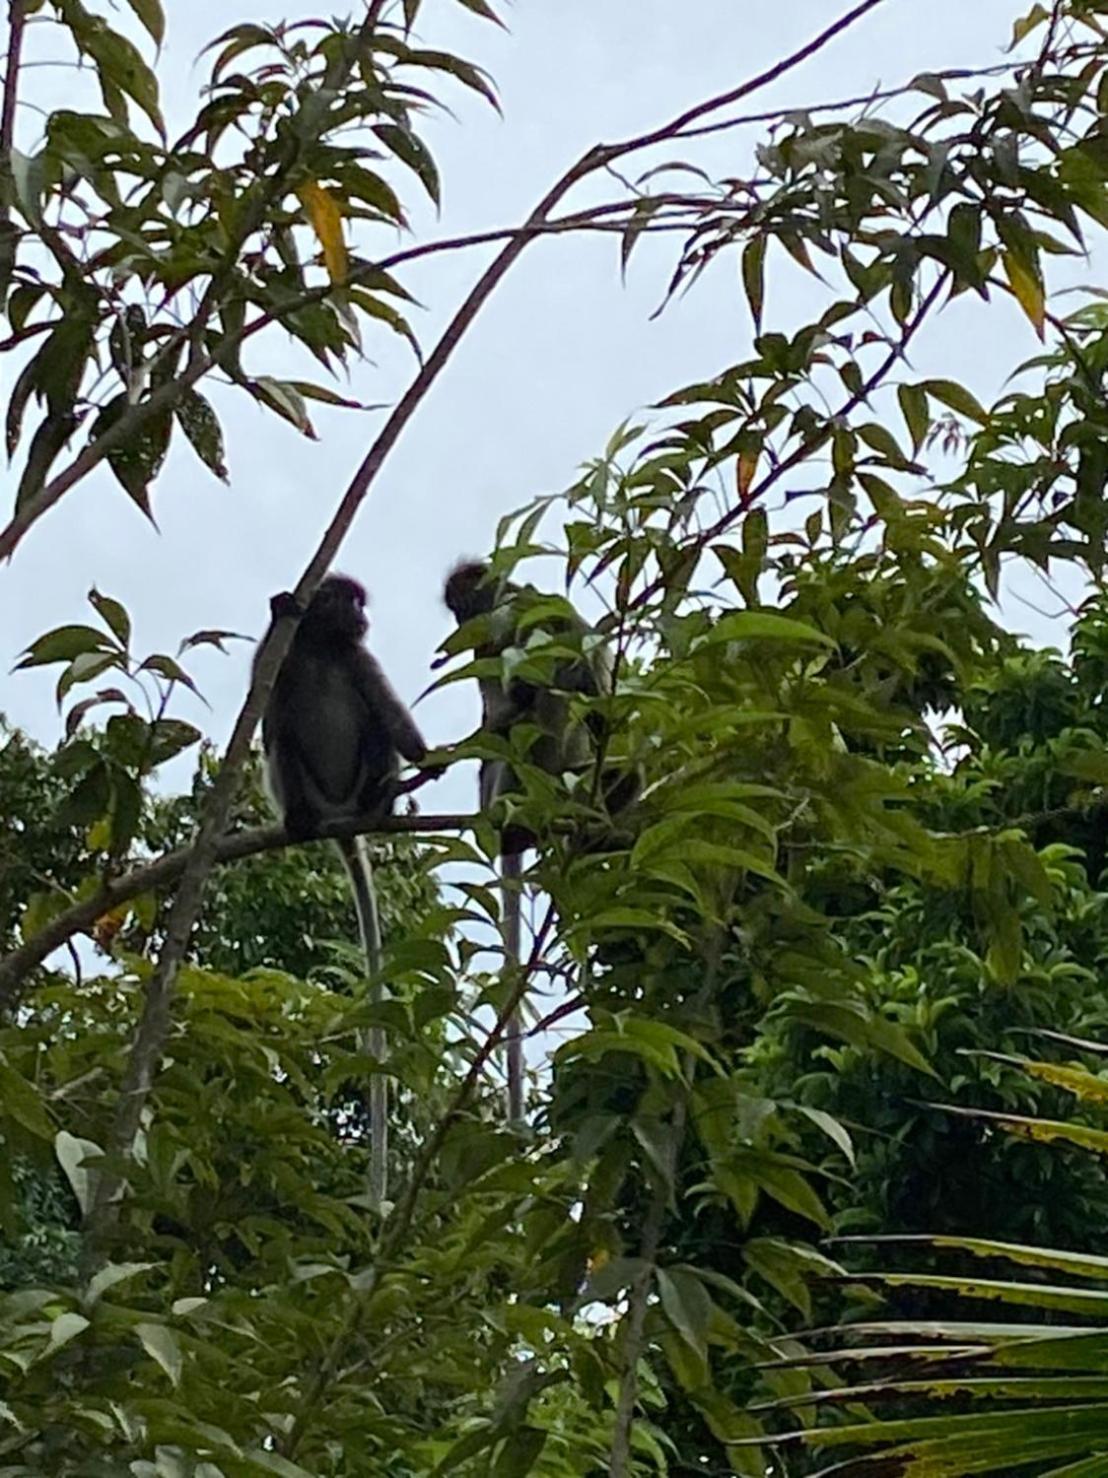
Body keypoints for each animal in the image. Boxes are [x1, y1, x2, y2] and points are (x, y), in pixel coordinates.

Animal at [258, 570, 437, 1206]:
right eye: (351, 601)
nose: (362, 615)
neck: (322, 649)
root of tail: (341, 816)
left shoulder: (360, 658)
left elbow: (395, 725)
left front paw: (429, 761)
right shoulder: (283, 655)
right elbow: (262, 708)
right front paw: (281, 604)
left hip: (361, 781)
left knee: (378, 734)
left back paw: (382, 803)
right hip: (304, 788)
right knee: (280, 739)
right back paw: (300, 819)